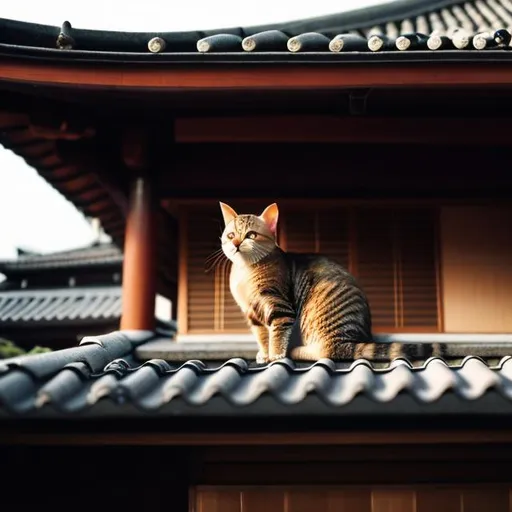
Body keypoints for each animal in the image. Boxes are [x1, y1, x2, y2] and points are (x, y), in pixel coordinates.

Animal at [218, 200, 446, 364]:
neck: (246, 273)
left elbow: (277, 334)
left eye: (251, 235)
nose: (236, 243)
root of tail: (354, 340)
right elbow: (263, 336)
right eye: (230, 235)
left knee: (329, 350)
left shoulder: (280, 306)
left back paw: (297, 351)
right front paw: (264, 354)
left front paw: (275, 355)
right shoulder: (253, 315)